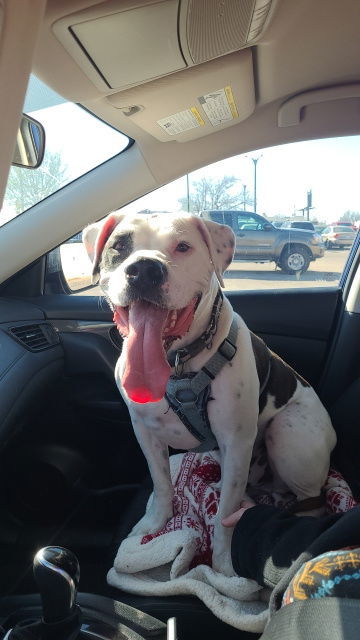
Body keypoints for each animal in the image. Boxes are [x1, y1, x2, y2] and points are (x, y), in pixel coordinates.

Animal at [83, 211, 336, 576]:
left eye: (183, 246)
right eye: (119, 246)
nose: (144, 269)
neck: (178, 362)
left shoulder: (236, 440)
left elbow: (225, 517)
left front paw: (223, 564)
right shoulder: (145, 431)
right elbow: (161, 483)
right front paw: (154, 523)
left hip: (286, 432)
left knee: (311, 503)